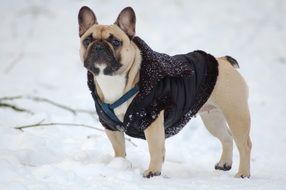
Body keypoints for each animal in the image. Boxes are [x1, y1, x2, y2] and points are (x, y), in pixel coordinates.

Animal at [77, 5, 251, 178]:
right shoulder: (110, 126)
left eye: (115, 42)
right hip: (213, 118)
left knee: (244, 144)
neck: (112, 79)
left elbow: (155, 148)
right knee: (226, 137)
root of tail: (222, 60)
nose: (99, 46)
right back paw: (225, 163)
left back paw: (243, 173)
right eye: (87, 40)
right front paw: (120, 164)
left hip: (235, 114)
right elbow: (119, 148)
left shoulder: (151, 119)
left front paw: (153, 171)